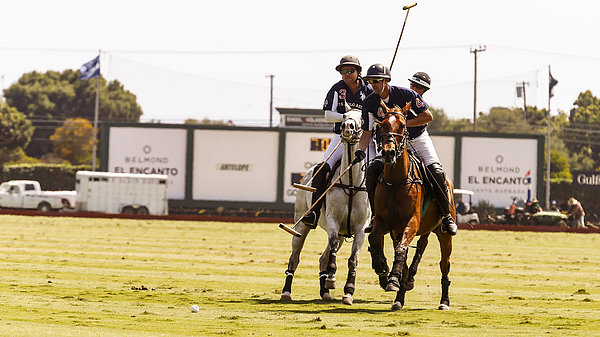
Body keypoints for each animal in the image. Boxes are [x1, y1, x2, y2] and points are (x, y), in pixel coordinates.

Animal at [282, 110, 370, 304]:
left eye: (362, 118)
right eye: (344, 115)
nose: (347, 127)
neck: (351, 183)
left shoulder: (361, 228)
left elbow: (353, 258)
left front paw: (348, 292)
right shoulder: (332, 221)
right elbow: (333, 245)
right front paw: (331, 278)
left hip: (345, 233)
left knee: (323, 258)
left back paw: (325, 292)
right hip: (301, 225)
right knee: (294, 258)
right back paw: (286, 292)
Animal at [366, 105, 454, 310]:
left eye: (403, 125)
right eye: (382, 124)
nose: (389, 153)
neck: (395, 180)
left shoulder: (412, 222)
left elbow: (402, 250)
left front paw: (392, 279)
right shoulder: (386, 224)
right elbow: (376, 239)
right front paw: (383, 269)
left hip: (444, 234)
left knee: (444, 264)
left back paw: (444, 301)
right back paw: (400, 296)